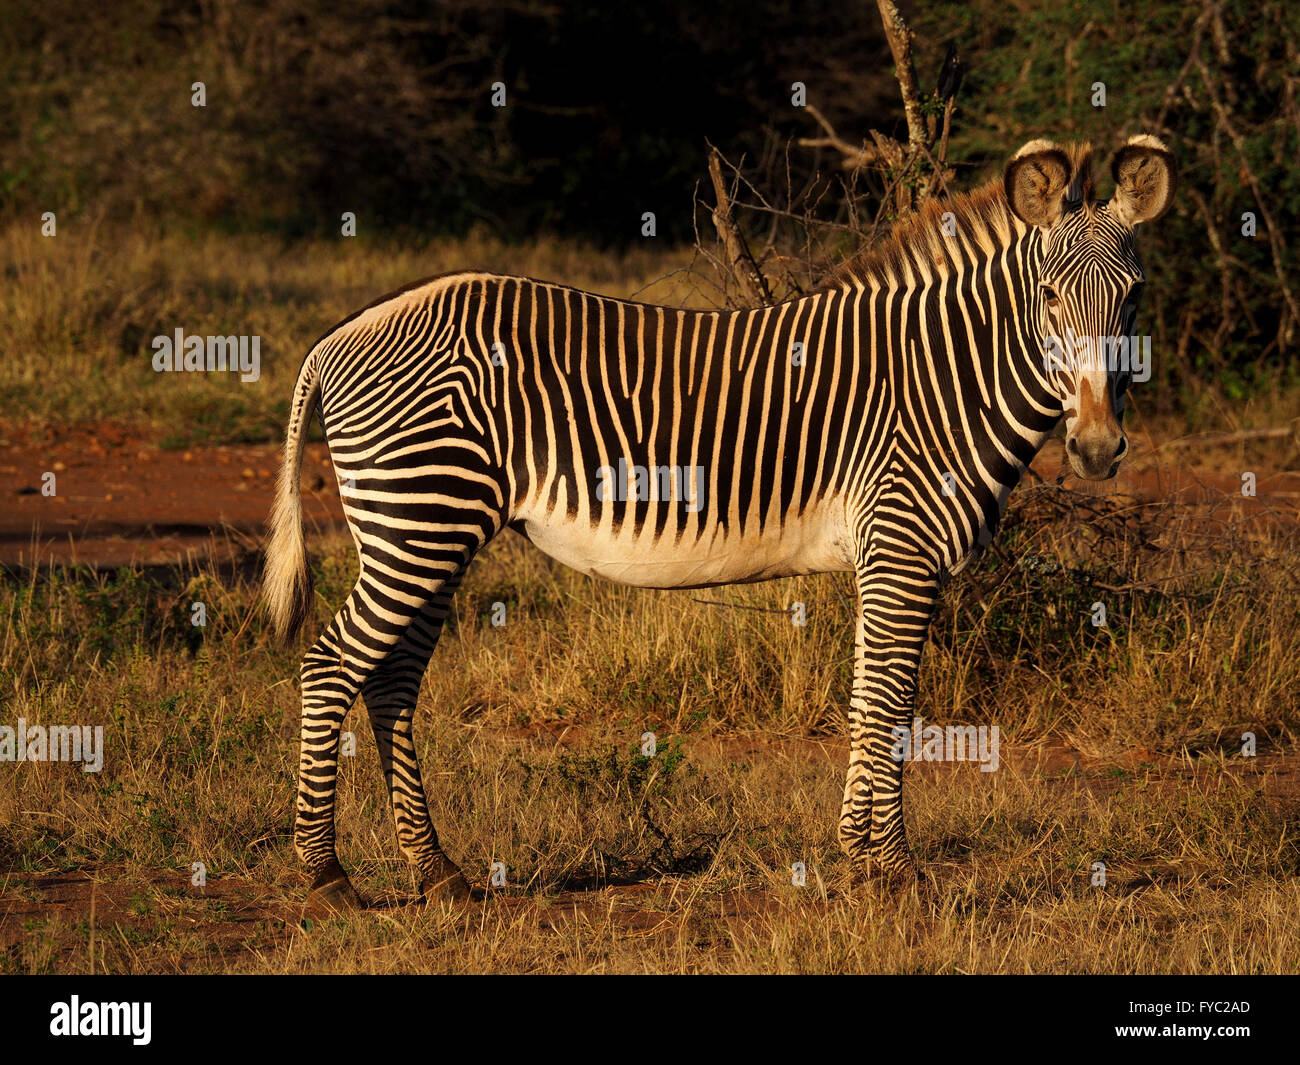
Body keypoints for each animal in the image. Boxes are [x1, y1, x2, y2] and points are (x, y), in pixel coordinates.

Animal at [263, 135, 1180, 915]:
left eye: (1133, 297)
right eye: (1049, 297)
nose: (1098, 449)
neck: (946, 377)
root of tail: (340, 335)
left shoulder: (882, 556)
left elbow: (868, 697)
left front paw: (858, 859)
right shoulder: (903, 545)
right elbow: (889, 701)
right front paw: (895, 871)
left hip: (427, 526)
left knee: (389, 680)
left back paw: (438, 873)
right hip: (419, 517)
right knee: (332, 664)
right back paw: (326, 876)